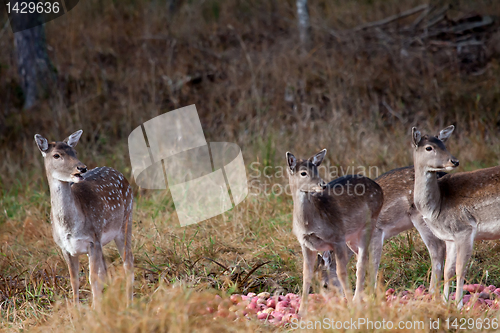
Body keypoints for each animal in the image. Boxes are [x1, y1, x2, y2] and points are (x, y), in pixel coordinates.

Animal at [34, 130, 135, 306]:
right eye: (56, 155)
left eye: (74, 151)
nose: (81, 168)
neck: (70, 225)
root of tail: (121, 175)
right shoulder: (66, 248)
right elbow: (74, 280)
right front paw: (77, 310)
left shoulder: (92, 241)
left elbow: (92, 278)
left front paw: (95, 309)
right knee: (106, 269)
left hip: (125, 221)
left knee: (128, 262)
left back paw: (129, 303)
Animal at [286, 148, 382, 314]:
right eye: (303, 172)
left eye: (316, 169)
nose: (322, 185)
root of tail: (380, 189)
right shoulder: (305, 244)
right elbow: (306, 275)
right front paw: (301, 312)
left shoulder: (337, 237)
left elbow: (341, 273)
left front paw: (350, 306)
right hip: (352, 236)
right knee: (364, 258)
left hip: (369, 223)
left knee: (362, 262)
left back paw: (357, 300)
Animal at [410, 124, 500, 306]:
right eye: (429, 147)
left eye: (444, 144)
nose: (454, 161)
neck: (437, 206)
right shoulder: (449, 238)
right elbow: (448, 270)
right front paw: (445, 303)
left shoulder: (464, 229)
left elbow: (460, 269)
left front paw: (458, 305)